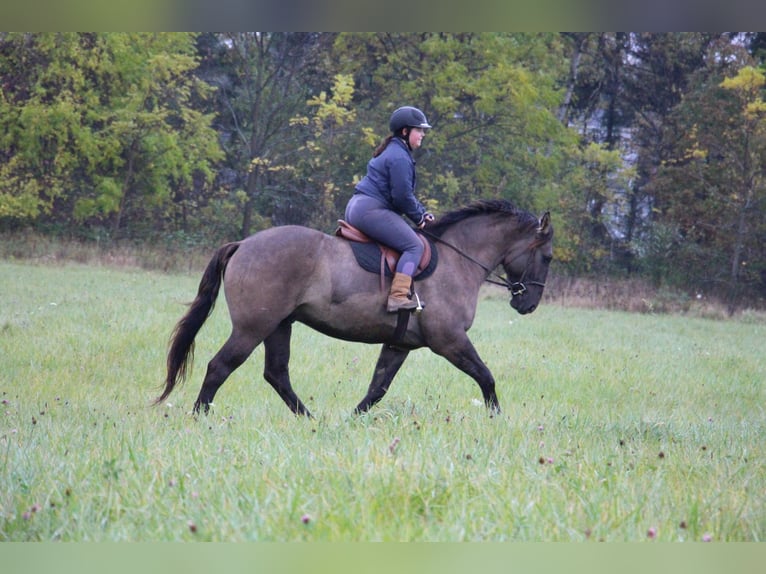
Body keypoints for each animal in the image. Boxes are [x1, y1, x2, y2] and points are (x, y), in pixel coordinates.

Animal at [156, 200, 556, 416]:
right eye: (549, 257)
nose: (528, 304)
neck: (457, 260)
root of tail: (243, 244)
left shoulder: (399, 344)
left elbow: (376, 389)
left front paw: (351, 421)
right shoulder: (450, 341)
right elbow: (486, 377)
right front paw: (496, 419)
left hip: (279, 326)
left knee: (277, 374)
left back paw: (311, 421)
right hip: (252, 328)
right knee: (220, 367)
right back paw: (200, 419)